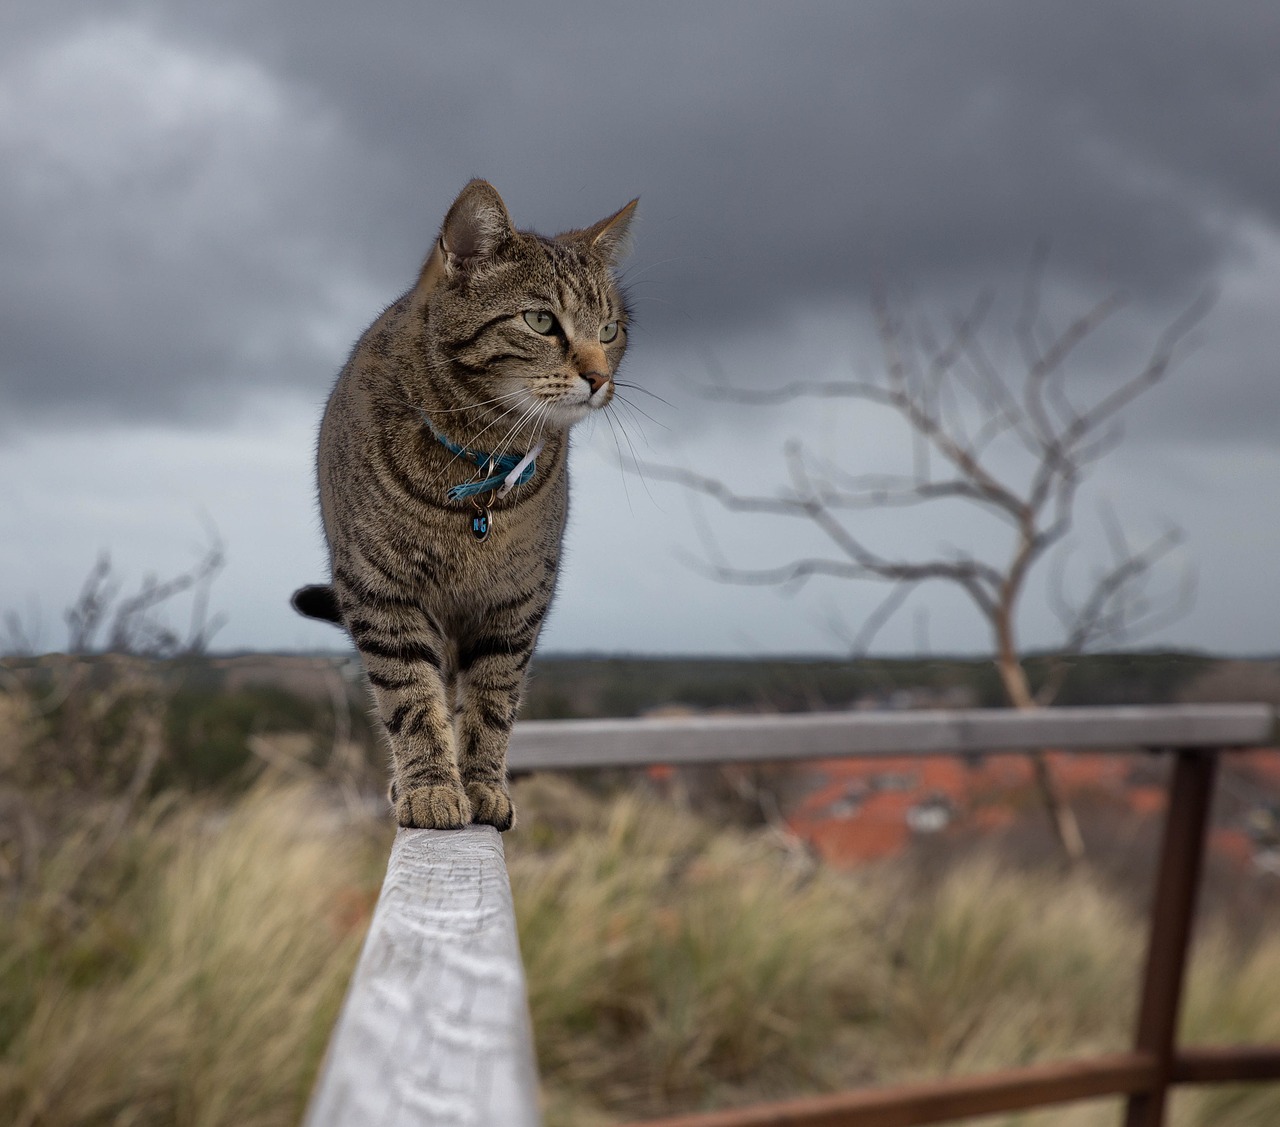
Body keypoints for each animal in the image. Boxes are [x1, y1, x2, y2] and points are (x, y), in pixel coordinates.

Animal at [293, 178, 637, 829]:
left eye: (610, 331)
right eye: (540, 320)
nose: (601, 378)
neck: (479, 462)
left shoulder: (516, 604)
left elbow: (491, 704)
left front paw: (480, 785)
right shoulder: (381, 593)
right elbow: (410, 699)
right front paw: (431, 787)